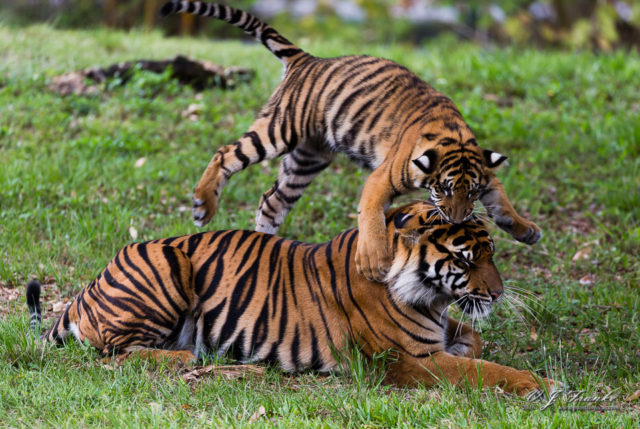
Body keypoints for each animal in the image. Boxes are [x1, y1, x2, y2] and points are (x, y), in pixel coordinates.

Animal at [26, 201, 556, 394]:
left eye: (492, 252)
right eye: (467, 259)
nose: (497, 293)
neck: (432, 298)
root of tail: (86, 290)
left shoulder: (440, 334)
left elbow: (474, 345)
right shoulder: (406, 359)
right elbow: (483, 369)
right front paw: (543, 385)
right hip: (167, 264)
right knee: (114, 355)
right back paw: (183, 358)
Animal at [159, 0, 540, 280]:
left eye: (471, 192)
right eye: (444, 189)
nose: (458, 220)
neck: (454, 137)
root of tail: (307, 59)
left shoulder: (486, 175)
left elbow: (502, 201)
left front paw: (526, 230)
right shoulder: (381, 178)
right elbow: (370, 217)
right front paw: (373, 263)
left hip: (307, 160)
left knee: (271, 201)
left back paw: (265, 244)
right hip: (280, 131)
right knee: (225, 153)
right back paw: (203, 206)